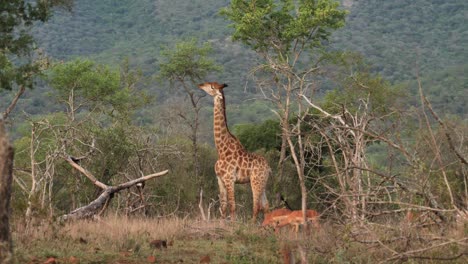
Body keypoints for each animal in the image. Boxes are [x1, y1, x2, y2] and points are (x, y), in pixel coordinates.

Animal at [197, 82, 270, 221]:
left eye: (212, 87)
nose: (200, 85)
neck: (221, 150)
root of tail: (269, 168)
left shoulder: (229, 179)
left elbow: (232, 206)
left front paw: (233, 224)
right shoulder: (220, 179)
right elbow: (223, 206)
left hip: (255, 181)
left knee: (256, 206)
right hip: (263, 182)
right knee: (266, 206)